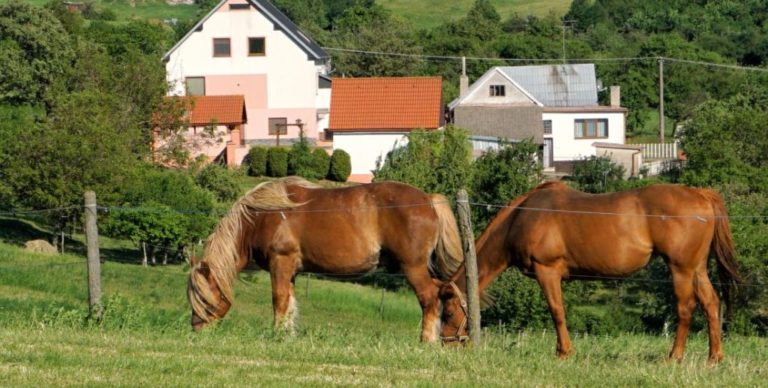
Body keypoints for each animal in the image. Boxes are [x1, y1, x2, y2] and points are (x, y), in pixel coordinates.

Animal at [188, 177, 462, 342]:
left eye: (204, 297)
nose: (196, 329)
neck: (261, 216)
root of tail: (428, 200)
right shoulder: (291, 270)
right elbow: (290, 303)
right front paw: (288, 335)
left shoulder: (280, 263)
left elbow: (279, 300)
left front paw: (277, 334)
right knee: (445, 293)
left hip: (413, 268)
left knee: (429, 299)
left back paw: (426, 341)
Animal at [440, 182, 740, 364]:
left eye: (449, 312)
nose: (447, 344)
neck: (522, 218)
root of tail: (701, 195)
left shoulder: (547, 272)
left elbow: (557, 312)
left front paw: (564, 352)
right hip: (697, 268)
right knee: (711, 303)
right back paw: (714, 357)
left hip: (681, 269)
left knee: (686, 307)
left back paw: (674, 357)